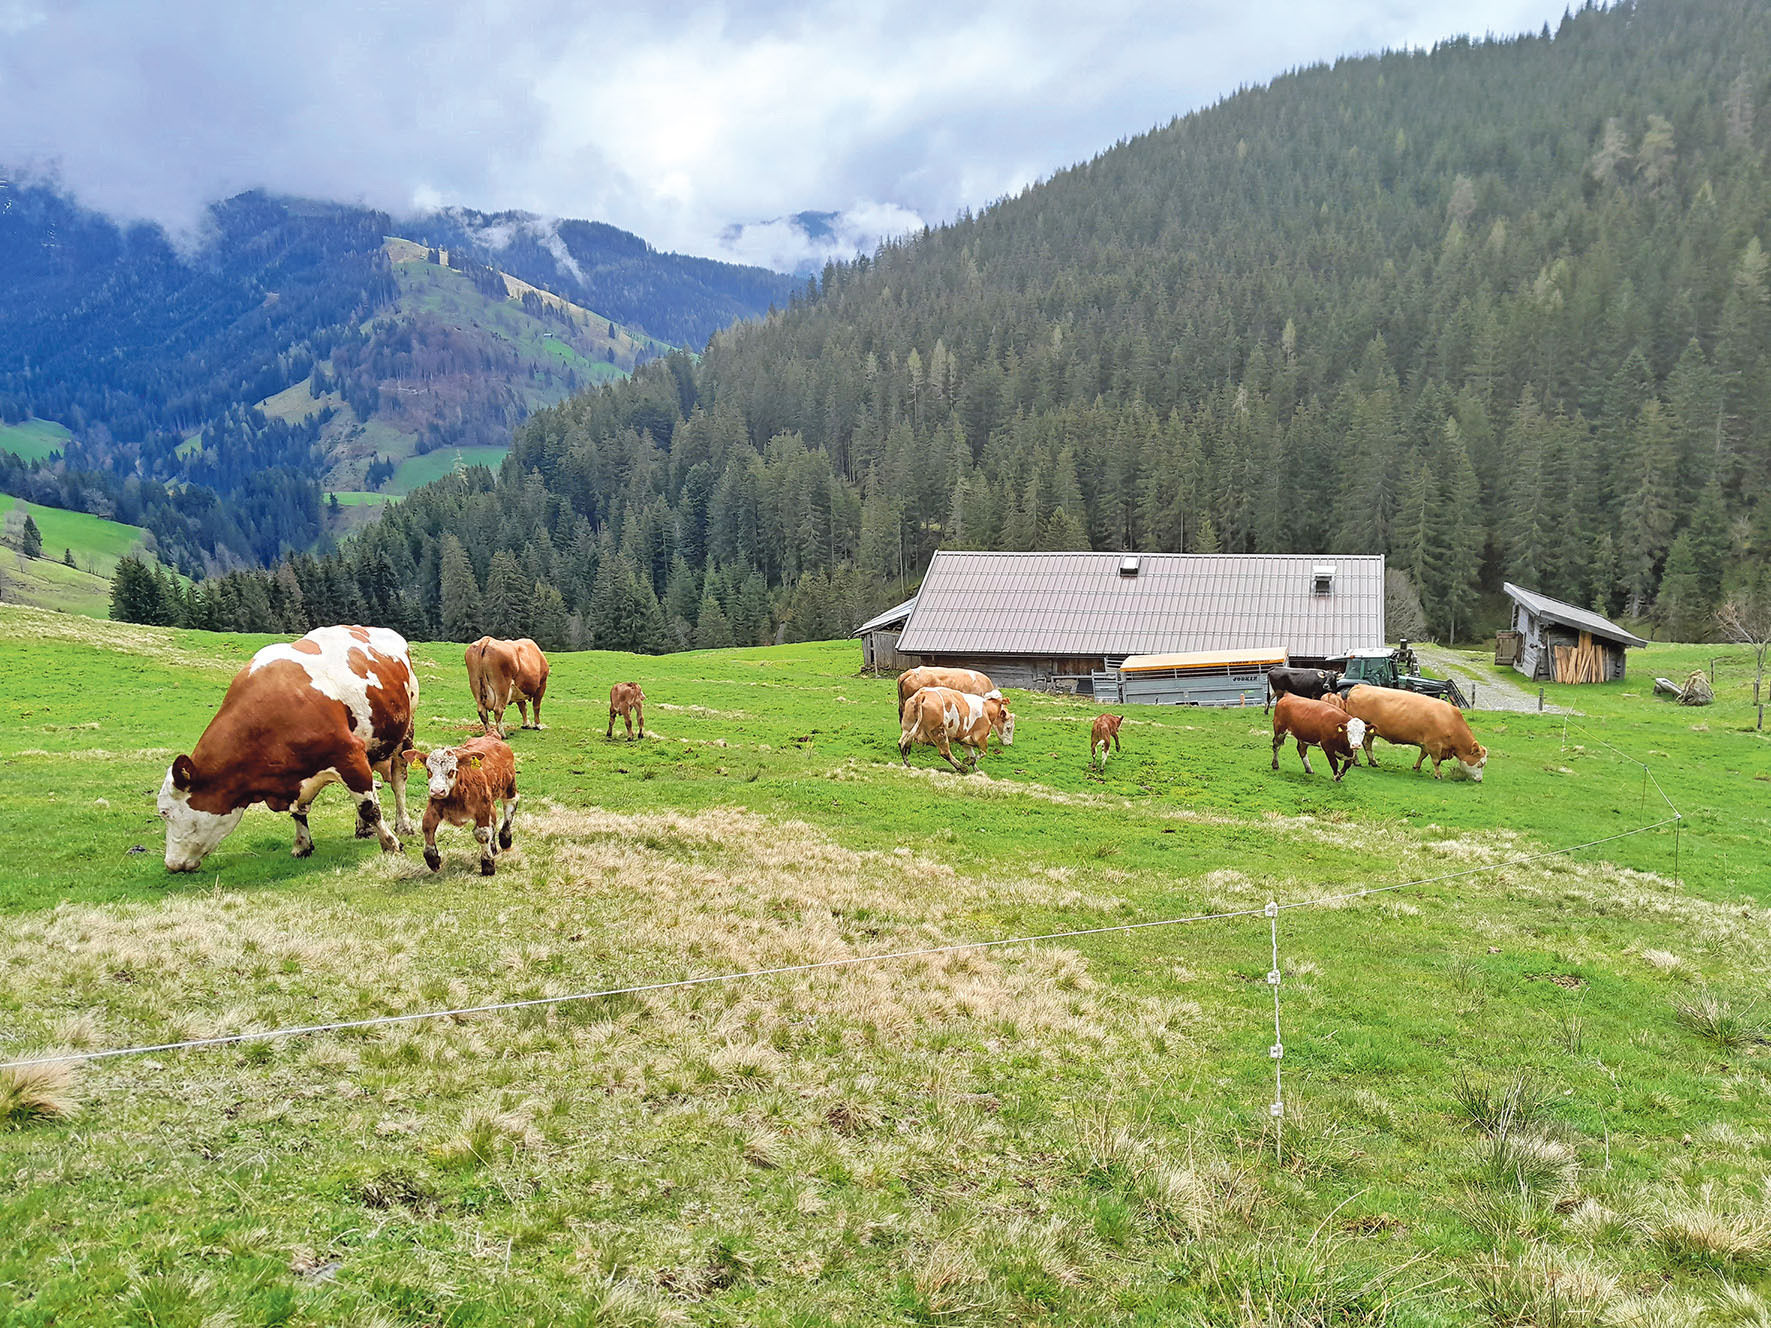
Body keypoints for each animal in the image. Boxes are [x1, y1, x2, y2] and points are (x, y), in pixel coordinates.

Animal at [158, 626, 417, 874]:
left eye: (164, 812)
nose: (170, 864)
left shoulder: (349, 755)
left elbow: (370, 808)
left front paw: (391, 845)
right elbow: (300, 812)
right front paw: (302, 845)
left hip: (405, 734)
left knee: (397, 782)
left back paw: (403, 825)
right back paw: (363, 830)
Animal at [410, 733, 520, 878]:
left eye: (451, 771)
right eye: (428, 770)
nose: (438, 791)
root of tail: (491, 735)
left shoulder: (482, 807)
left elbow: (482, 833)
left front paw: (488, 865)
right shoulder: (434, 805)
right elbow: (427, 826)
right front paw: (433, 859)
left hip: (509, 786)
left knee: (510, 805)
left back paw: (505, 839)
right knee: (493, 818)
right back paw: (493, 847)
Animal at [892, 690, 1020, 775]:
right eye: (1008, 727)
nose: (1009, 743)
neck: (987, 709)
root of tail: (922, 694)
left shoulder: (965, 741)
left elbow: (972, 754)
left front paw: (977, 770)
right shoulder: (981, 737)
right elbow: (982, 753)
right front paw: (968, 762)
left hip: (908, 727)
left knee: (902, 743)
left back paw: (907, 763)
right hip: (938, 731)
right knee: (945, 752)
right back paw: (961, 767)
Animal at [1331, 687, 1487, 779]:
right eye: (1480, 764)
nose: (1479, 780)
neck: (1449, 720)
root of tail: (1358, 686)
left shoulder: (1426, 744)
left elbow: (1422, 755)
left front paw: (1416, 767)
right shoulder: (1434, 744)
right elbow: (1436, 761)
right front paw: (1438, 774)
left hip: (1369, 732)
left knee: (1367, 744)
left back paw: (1373, 762)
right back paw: (1358, 762)